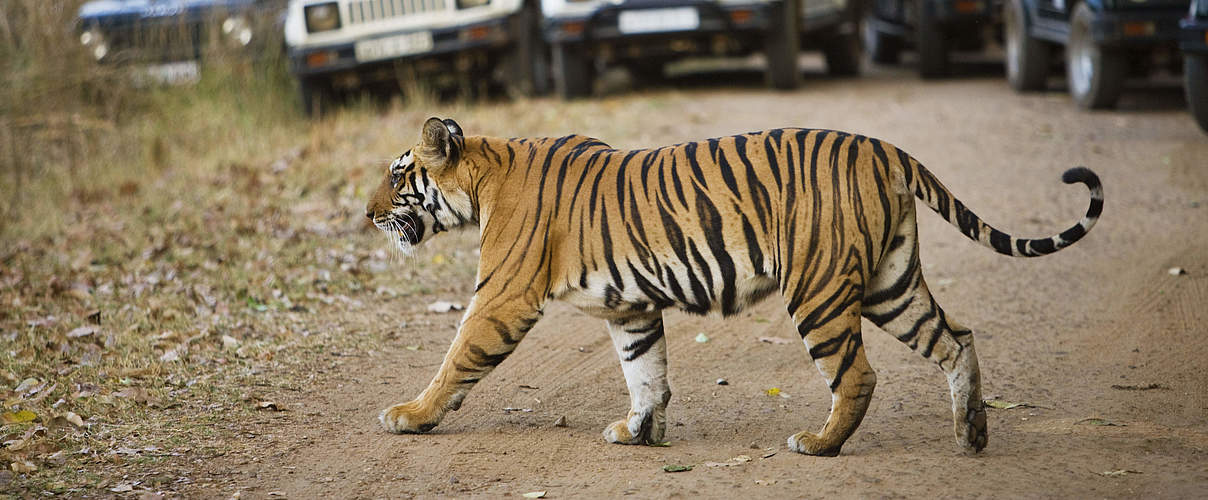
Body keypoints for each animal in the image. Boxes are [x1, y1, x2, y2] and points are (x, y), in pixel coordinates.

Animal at [359, 117, 1106, 456]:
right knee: (956, 338)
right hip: (890, 284)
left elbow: (455, 360)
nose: (365, 214)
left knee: (858, 374)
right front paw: (638, 431)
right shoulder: (632, 306)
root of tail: (882, 146)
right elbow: (645, 372)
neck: (484, 177)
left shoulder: (501, 298)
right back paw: (970, 431)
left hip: (819, 289)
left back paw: (820, 443)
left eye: (398, 175)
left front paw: (409, 416)